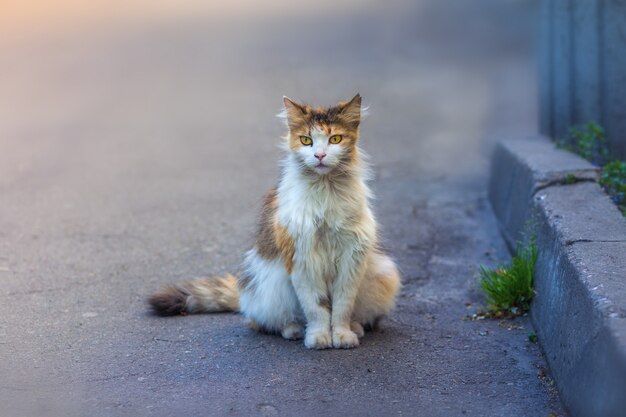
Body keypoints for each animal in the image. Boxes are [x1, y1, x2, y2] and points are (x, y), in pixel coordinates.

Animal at [148, 94, 398, 348]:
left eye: (334, 139)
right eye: (306, 140)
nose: (319, 156)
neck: (325, 190)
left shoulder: (351, 258)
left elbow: (341, 306)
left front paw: (342, 336)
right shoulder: (301, 257)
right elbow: (316, 307)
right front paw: (318, 337)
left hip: (382, 275)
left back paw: (356, 328)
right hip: (268, 286)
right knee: (265, 322)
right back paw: (294, 330)